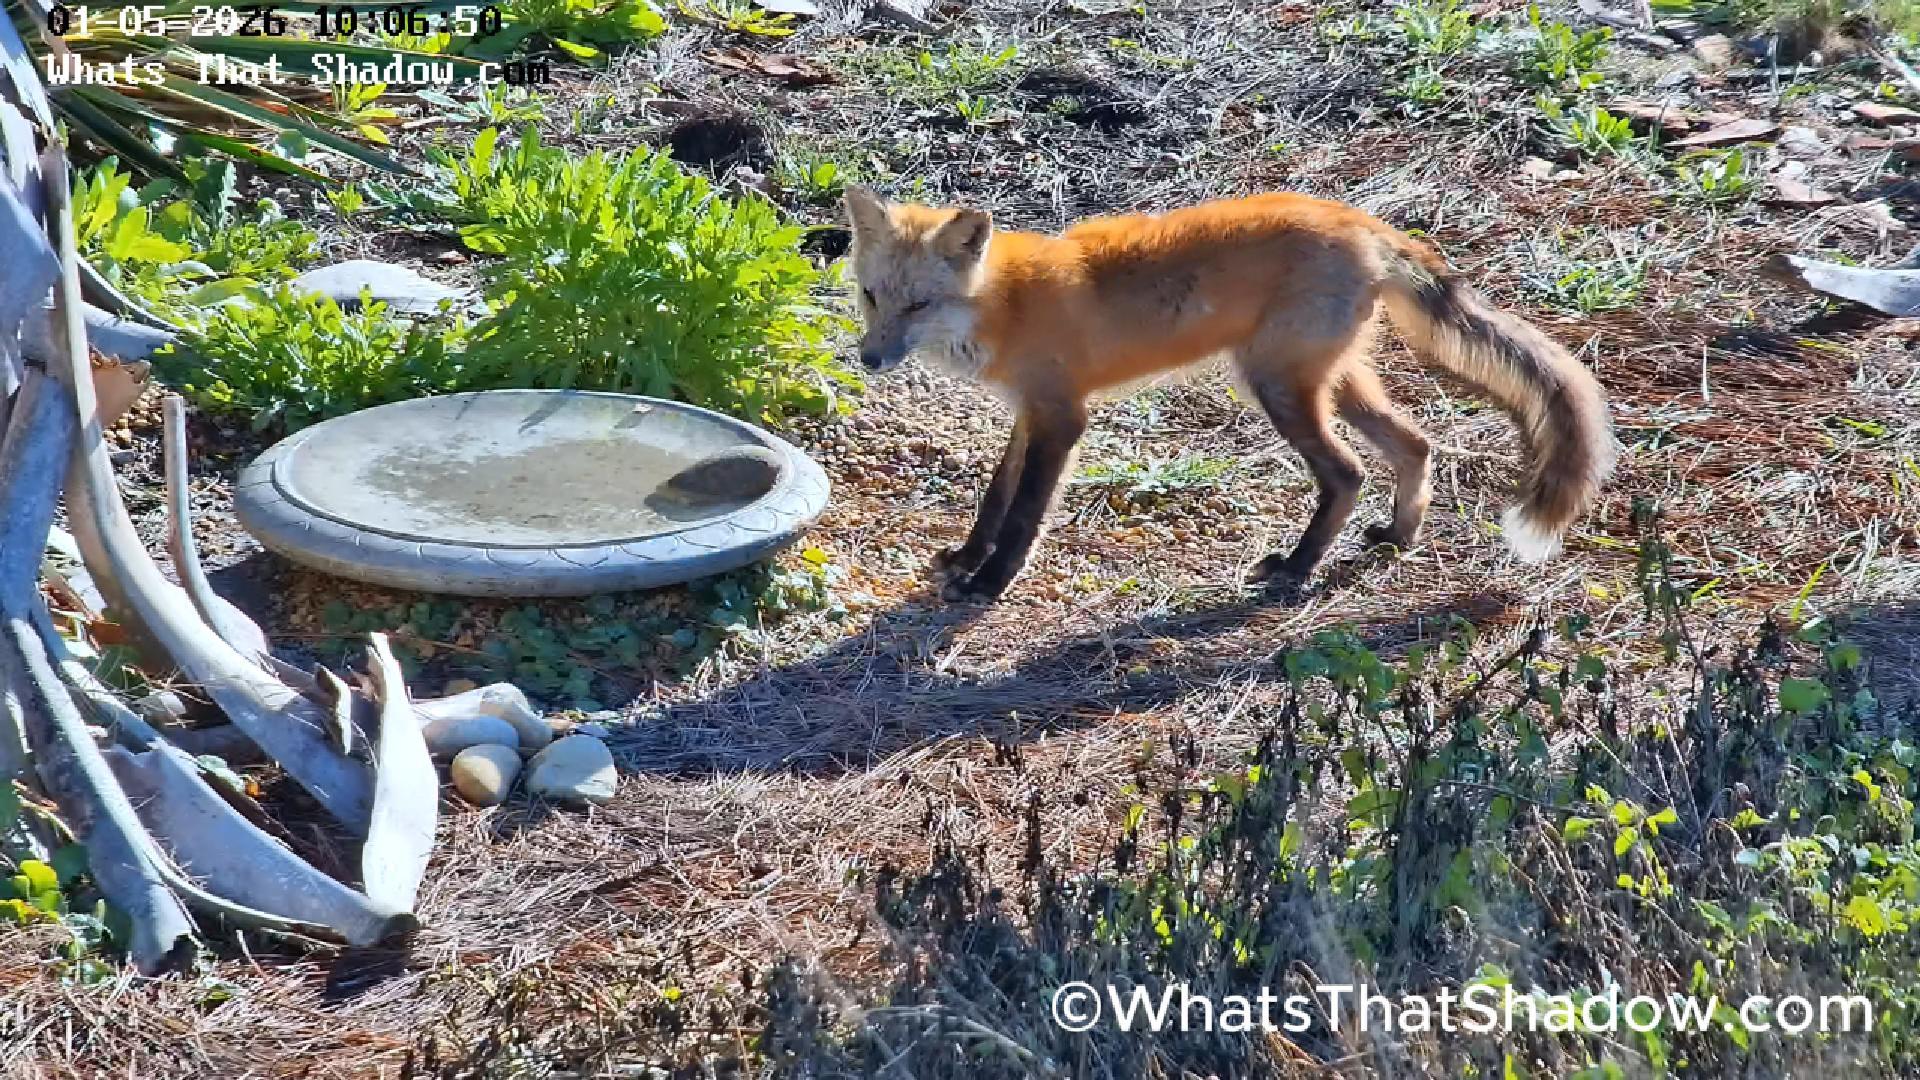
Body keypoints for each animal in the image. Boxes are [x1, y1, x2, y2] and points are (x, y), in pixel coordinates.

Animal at [841, 185, 1616, 604]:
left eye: (919, 305)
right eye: (873, 295)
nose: (869, 359)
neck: (1006, 302)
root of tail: (1363, 222)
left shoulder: (1062, 416)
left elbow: (1026, 512)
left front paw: (990, 582)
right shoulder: (1029, 414)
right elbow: (995, 497)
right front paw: (967, 560)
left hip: (1275, 386)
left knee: (1347, 473)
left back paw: (1297, 568)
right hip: (1332, 382)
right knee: (1415, 445)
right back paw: (1398, 536)